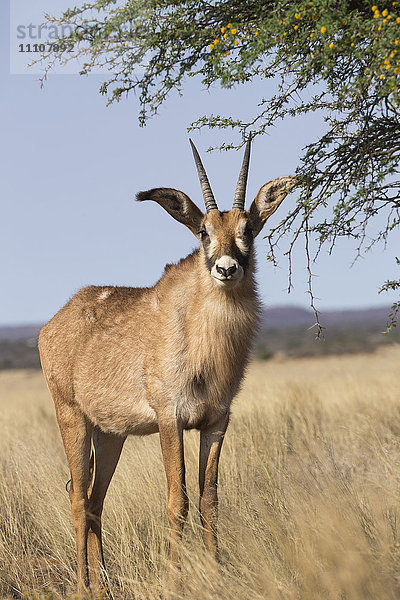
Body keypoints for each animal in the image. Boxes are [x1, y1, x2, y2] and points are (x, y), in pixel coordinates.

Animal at [39, 138, 296, 592]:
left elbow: (209, 499)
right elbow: (178, 500)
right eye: (203, 231)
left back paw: (105, 585)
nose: (227, 268)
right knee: (76, 497)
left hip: (110, 434)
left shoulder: (216, 421)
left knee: (94, 498)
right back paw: (84, 586)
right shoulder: (169, 418)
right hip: (72, 418)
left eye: (248, 230)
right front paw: (177, 581)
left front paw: (216, 573)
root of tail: (55, 321)